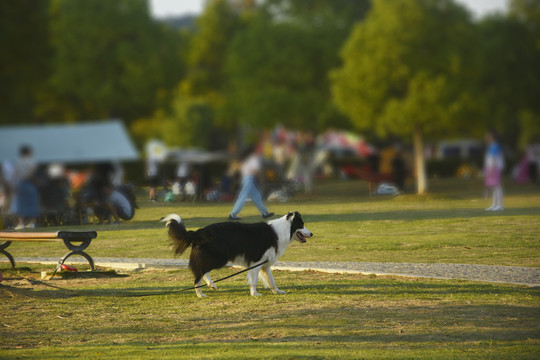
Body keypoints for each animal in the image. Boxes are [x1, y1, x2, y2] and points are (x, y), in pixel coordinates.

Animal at [161, 212, 312, 296]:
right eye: (302, 225)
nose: (311, 234)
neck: (278, 232)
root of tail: (198, 232)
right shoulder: (256, 262)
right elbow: (254, 280)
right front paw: (254, 294)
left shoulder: (265, 265)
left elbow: (271, 280)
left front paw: (277, 291)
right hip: (218, 258)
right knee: (198, 273)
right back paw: (200, 294)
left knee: (202, 271)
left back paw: (211, 285)